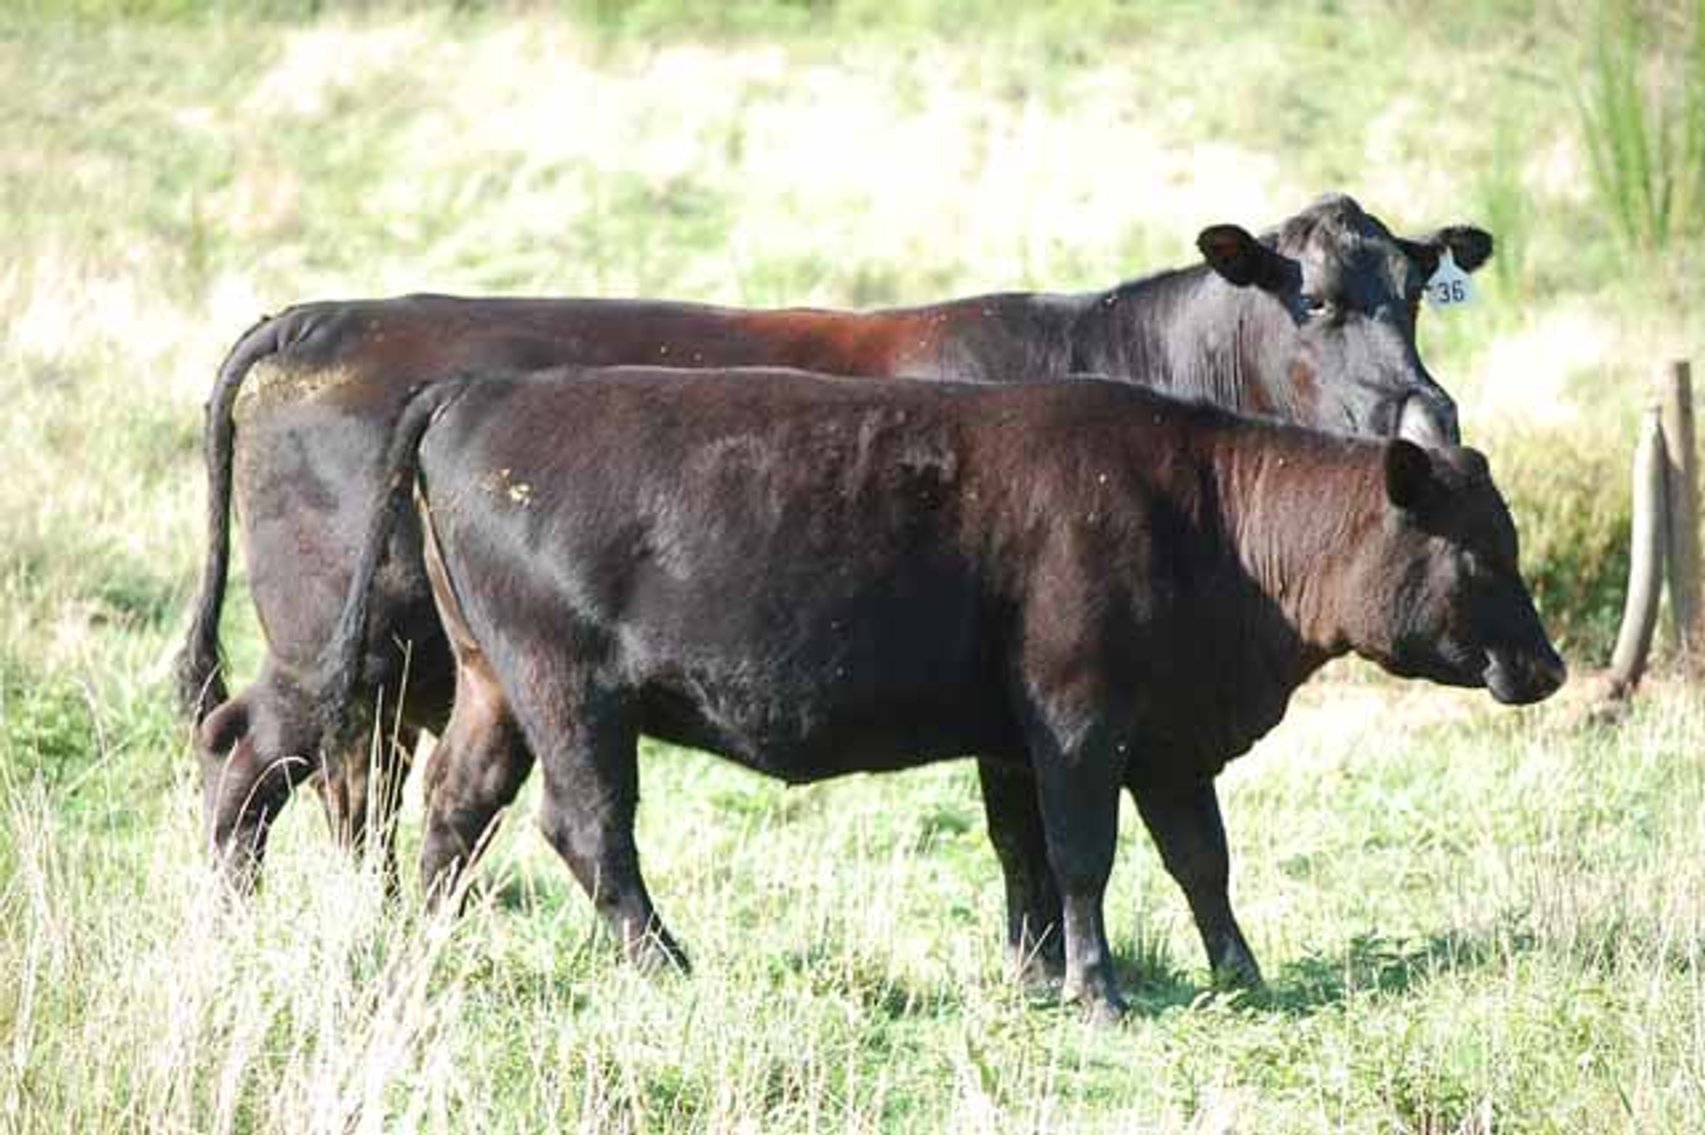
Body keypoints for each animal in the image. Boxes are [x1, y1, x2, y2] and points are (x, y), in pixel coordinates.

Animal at [184, 194, 1493, 979]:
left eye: (1414, 291)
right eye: (1311, 298)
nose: (1427, 416)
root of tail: (319, 317)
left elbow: (1023, 835)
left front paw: (1033, 969)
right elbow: (1035, 830)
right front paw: (1055, 971)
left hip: (427, 672)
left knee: (371, 788)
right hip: (341, 646)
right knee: (251, 750)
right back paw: (239, 927)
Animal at [284, 366, 1562, 1021]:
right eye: (1480, 552)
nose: (1547, 667)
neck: (1202, 510)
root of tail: (477, 388)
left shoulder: (1130, 736)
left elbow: (1162, 860)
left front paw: (1221, 976)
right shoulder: (1078, 719)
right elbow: (1084, 856)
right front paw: (1095, 991)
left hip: (494, 687)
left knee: (455, 808)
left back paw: (427, 946)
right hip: (567, 690)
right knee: (585, 825)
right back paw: (666, 965)